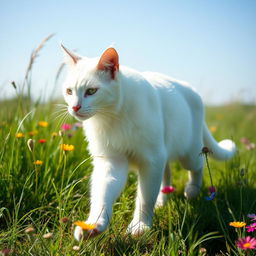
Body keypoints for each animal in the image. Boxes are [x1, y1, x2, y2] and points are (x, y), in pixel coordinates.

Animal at [60, 45, 236, 240]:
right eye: (69, 91)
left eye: (91, 91)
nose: (75, 107)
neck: (112, 117)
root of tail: (191, 90)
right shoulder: (111, 161)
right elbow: (102, 195)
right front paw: (93, 225)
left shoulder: (151, 160)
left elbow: (145, 198)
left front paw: (140, 226)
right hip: (164, 154)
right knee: (167, 174)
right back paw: (162, 201)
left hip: (188, 154)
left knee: (198, 166)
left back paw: (191, 191)